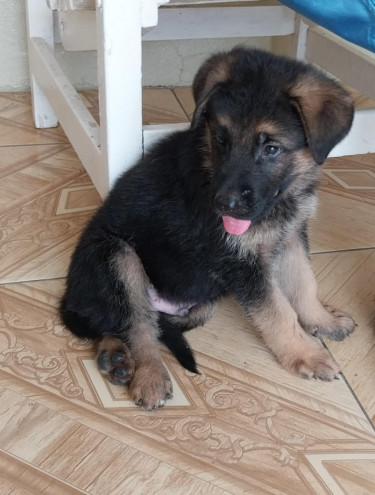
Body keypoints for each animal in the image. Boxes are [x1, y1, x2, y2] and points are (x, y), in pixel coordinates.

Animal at [60, 47, 356, 410]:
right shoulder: (239, 264)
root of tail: (69, 297)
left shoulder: (291, 236)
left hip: (202, 301)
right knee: (139, 325)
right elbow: (278, 310)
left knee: (135, 323)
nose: (224, 205)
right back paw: (148, 374)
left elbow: (304, 284)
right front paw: (306, 354)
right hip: (116, 254)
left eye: (271, 148)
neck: (281, 197)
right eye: (220, 138)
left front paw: (322, 321)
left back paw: (114, 355)